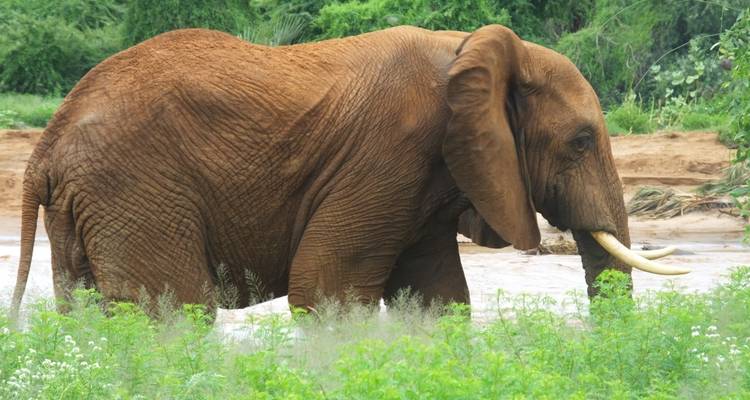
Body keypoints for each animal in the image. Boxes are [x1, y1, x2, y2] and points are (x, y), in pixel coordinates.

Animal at [11, 25, 686, 316]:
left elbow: (436, 295)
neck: (469, 48)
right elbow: (326, 287)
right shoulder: (388, 154)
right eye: (580, 142)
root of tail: (46, 145)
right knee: (173, 313)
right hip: (134, 188)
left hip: (90, 201)